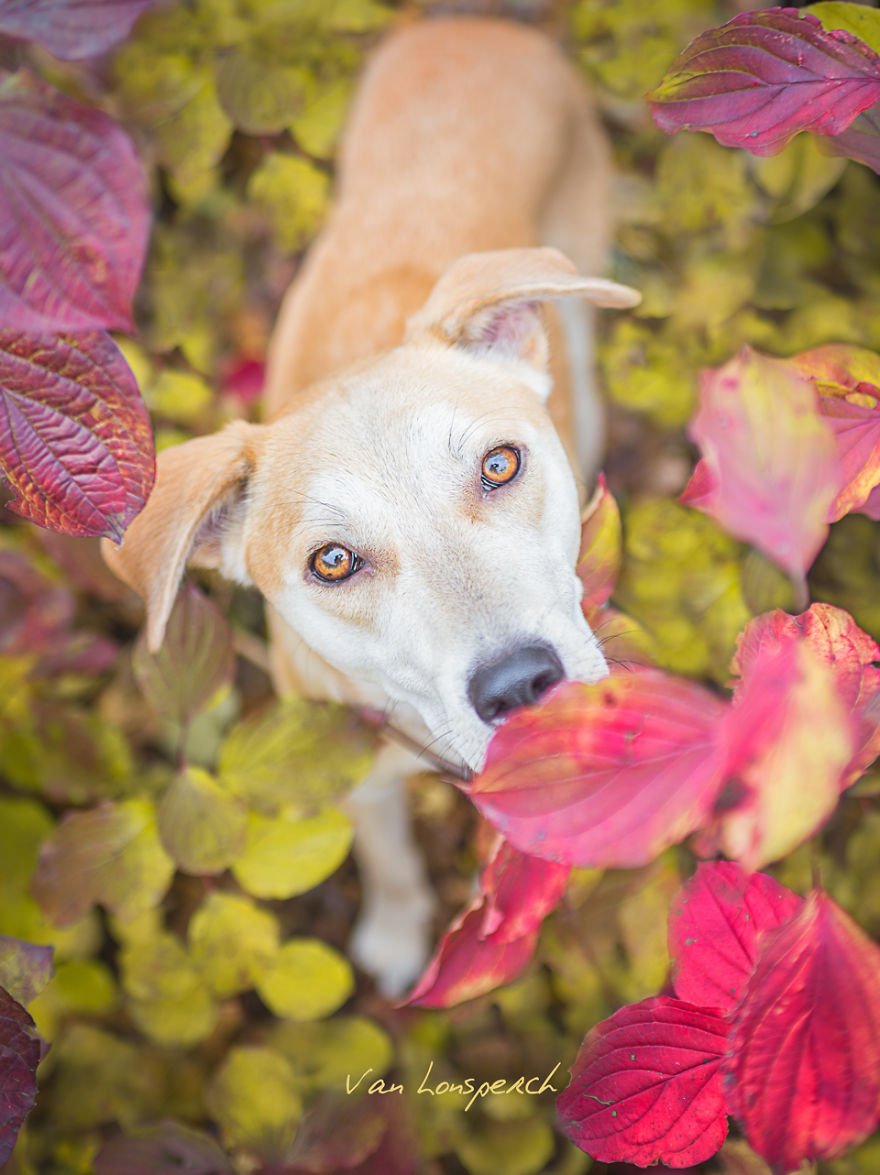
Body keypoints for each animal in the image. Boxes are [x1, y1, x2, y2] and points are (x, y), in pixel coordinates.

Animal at [102, 18, 639, 991]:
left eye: (499, 465)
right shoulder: (346, 766)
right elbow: (385, 854)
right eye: (334, 561)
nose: (519, 685)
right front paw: (394, 930)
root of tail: (476, 25)